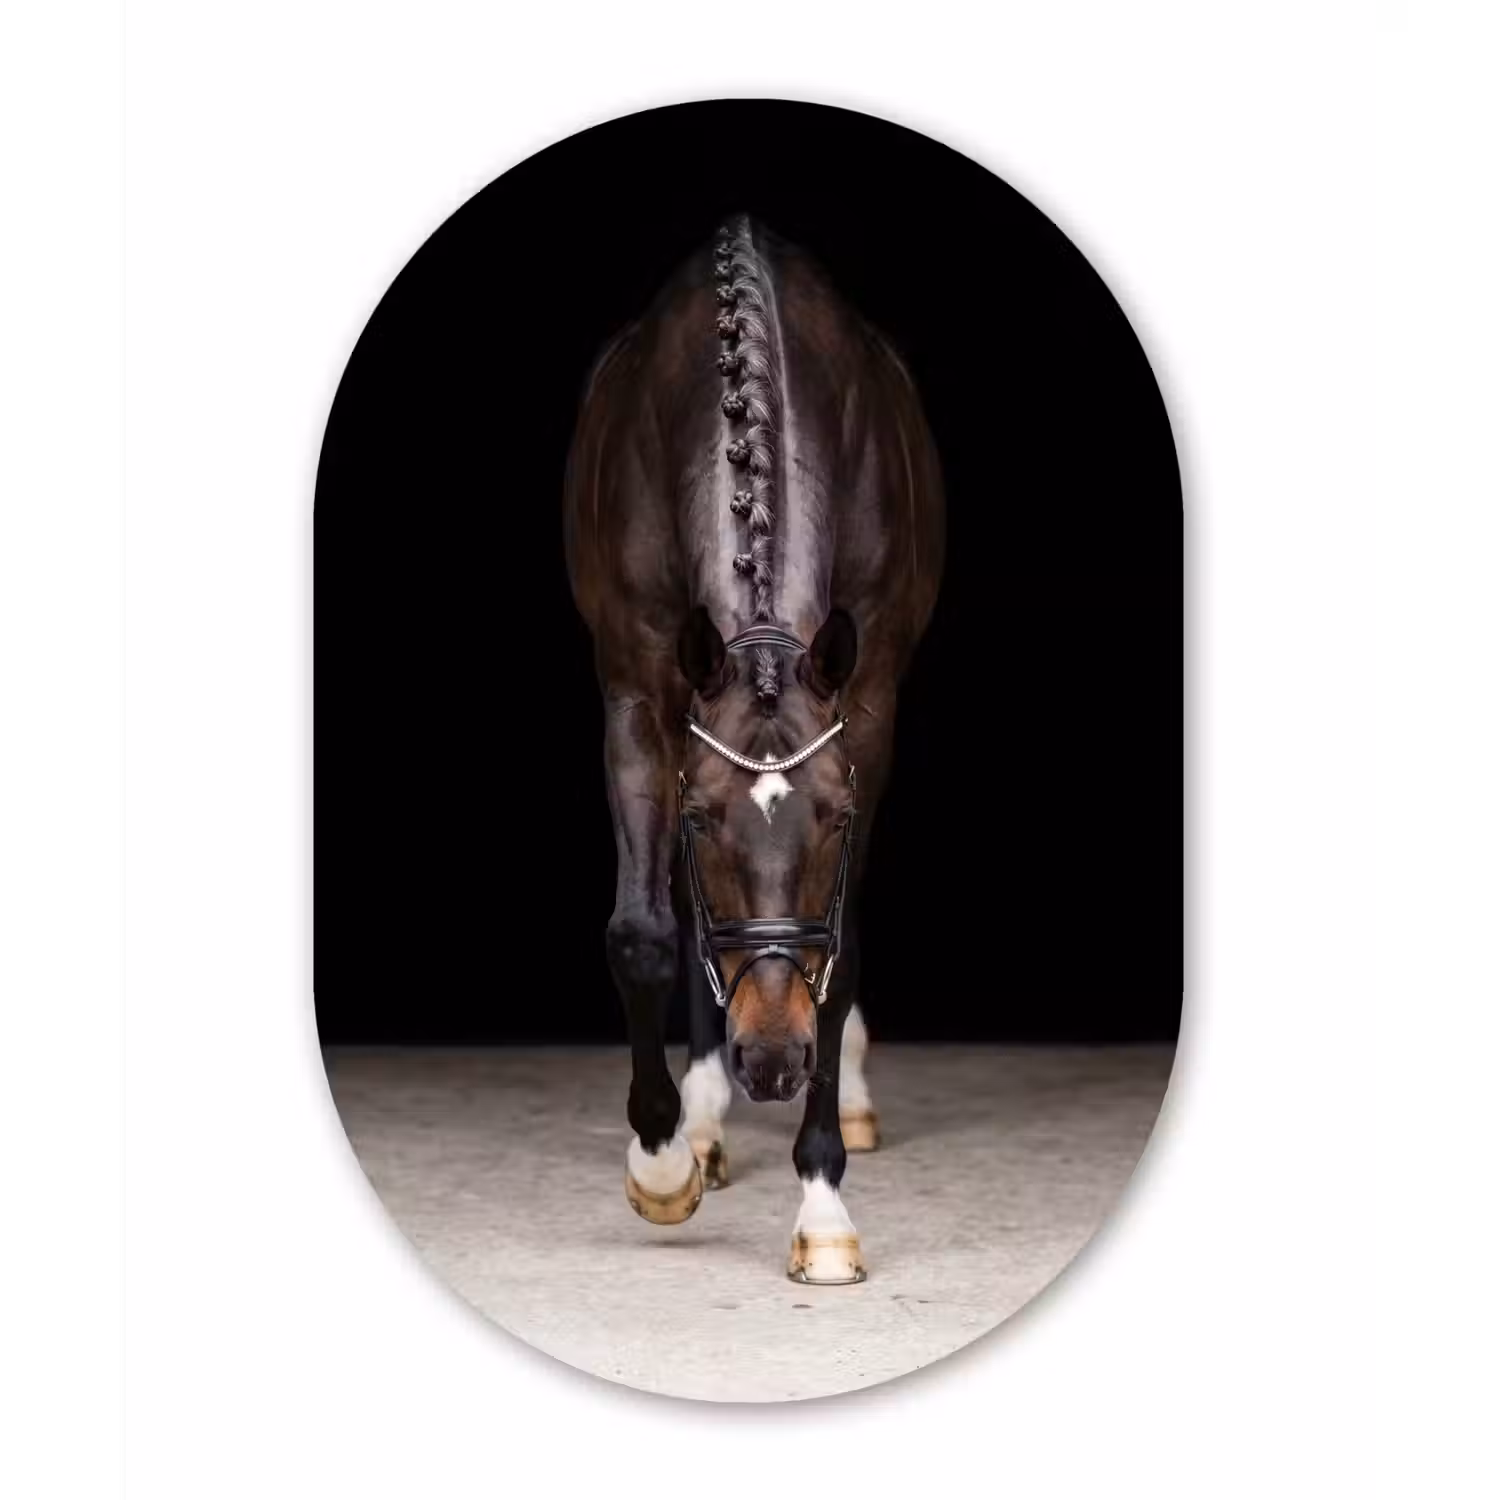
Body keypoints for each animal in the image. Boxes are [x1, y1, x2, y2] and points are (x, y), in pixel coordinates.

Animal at [563, 215, 944, 1283]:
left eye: (838, 819)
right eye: (700, 820)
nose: (773, 1059)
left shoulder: (868, 706)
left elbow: (838, 951)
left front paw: (823, 1208)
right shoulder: (636, 694)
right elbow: (646, 931)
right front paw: (661, 1164)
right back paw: (701, 1121)